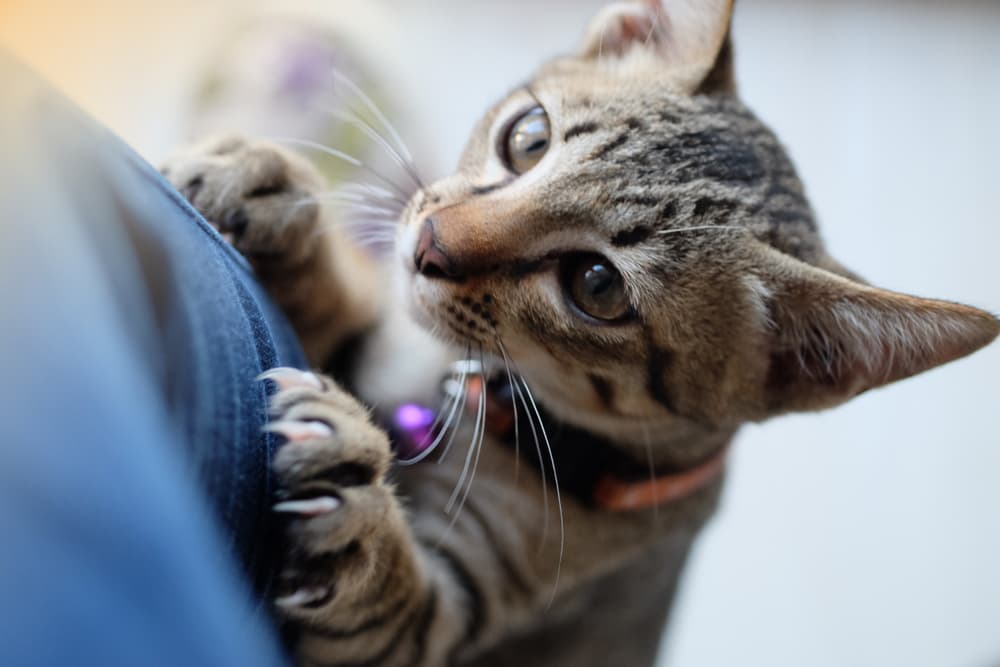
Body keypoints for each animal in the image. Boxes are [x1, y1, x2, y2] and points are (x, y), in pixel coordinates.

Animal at [160, 1, 996, 667]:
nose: (429, 243)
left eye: (597, 285)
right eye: (528, 137)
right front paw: (267, 191)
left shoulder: (440, 624)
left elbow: (380, 597)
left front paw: (351, 498)